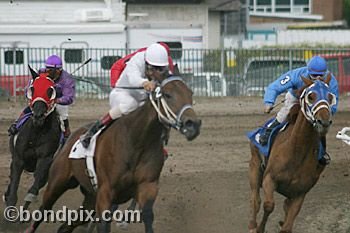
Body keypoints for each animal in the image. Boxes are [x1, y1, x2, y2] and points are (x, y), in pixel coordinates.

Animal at [3, 68, 61, 210]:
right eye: (32, 89)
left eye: (50, 91)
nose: (38, 116)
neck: (37, 133)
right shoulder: (18, 159)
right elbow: (13, 188)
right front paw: (9, 203)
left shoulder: (45, 159)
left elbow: (33, 189)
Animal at [26, 73, 201, 233]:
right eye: (168, 95)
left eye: (190, 93)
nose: (193, 124)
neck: (137, 141)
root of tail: (71, 138)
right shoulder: (105, 193)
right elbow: (103, 224)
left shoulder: (147, 186)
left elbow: (147, 218)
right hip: (57, 183)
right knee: (43, 210)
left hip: (90, 198)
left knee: (66, 226)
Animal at [249, 75, 336, 233]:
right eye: (310, 96)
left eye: (330, 96)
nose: (324, 122)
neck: (297, 152)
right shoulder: (269, 178)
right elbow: (268, 205)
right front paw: (260, 228)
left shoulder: (300, 193)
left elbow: (287, 226)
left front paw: (282, 224)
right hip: (254, 167)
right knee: (255, 199)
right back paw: (252, 225)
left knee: (284, 205)